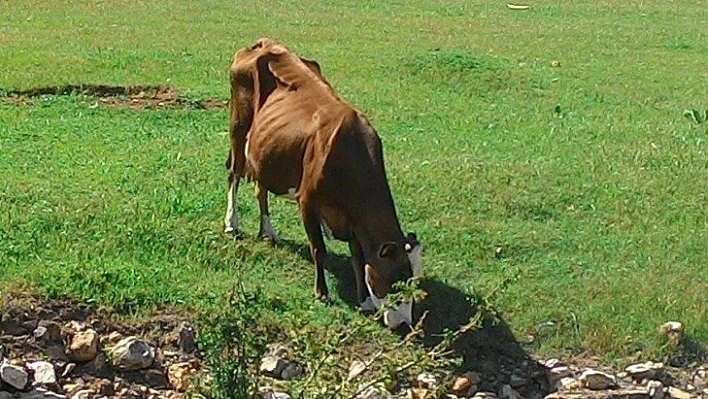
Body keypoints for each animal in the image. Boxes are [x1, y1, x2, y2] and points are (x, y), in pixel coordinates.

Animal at [223, 39, 420, 330]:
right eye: (396, 284)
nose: (405, 324)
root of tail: (265, 43)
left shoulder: (353, 219)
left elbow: (358, 258)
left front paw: (364, 301)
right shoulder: (308, 202)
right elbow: (319, 249)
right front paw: (322, 293)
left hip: (265, 152)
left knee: (261, 188)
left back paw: (268, 231)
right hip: (239, 126)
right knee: (234, 175)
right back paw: (231, 223)